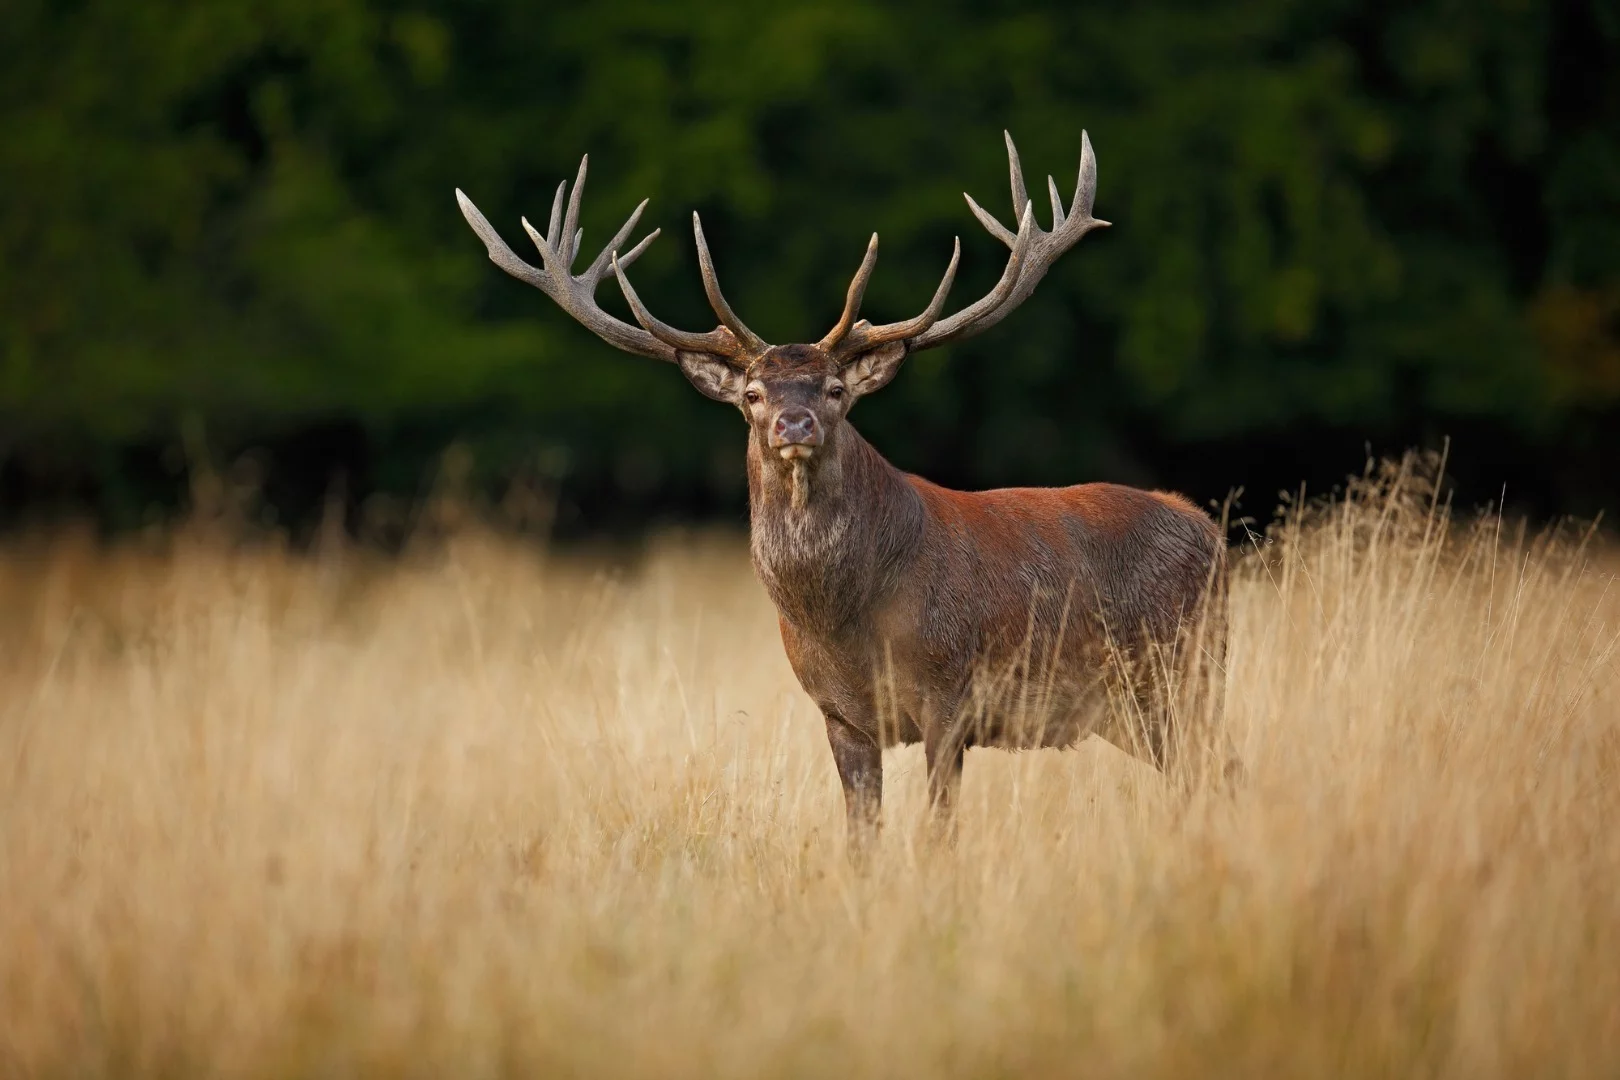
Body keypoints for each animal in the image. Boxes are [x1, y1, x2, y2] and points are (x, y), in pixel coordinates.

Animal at [456, 130, 1238, 855]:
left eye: (835, 388)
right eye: (752, 393)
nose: (794, 422)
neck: (846, 620)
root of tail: (1208, 530)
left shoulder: (951, 696)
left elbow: (939, 833)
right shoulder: (838, 714)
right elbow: (862, 838)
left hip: (1184, 674)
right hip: (1135, 707)